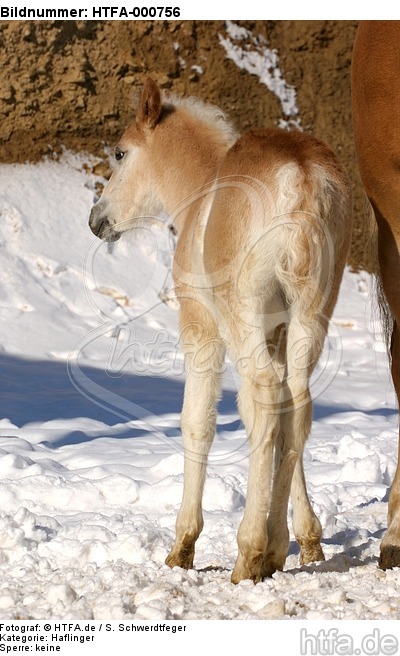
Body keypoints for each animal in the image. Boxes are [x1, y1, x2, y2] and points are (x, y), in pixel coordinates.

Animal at [89, 78, 352, 584]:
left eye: (120, 153)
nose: (97, 219)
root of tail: (301, 178)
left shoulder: (201, 326)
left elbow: (198, 422)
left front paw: (182, 546)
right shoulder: (278, 331)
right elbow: (285, 424)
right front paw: (308, 540)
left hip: (241, 311)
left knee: (265, 395)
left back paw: (251, 552)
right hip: (314, 311)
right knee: (297, 401)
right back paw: (276, 547)